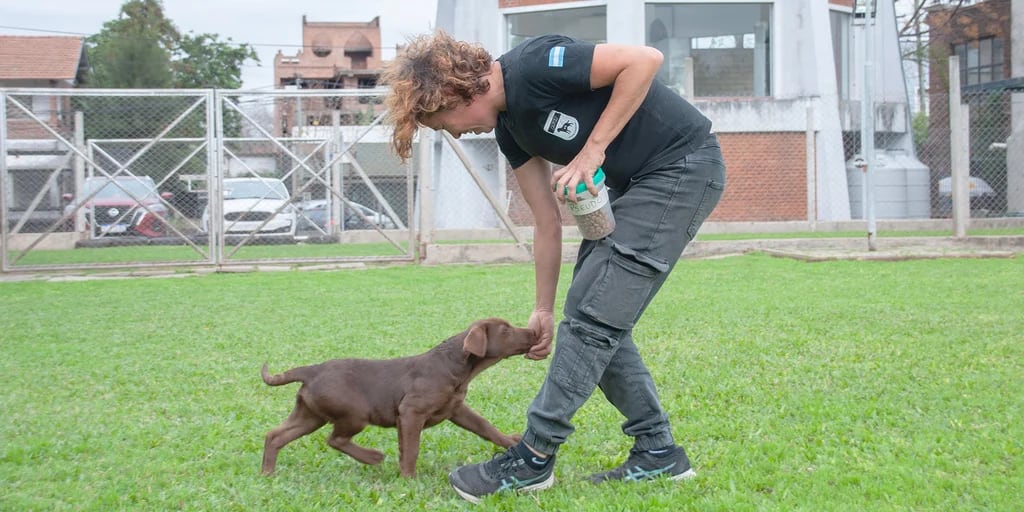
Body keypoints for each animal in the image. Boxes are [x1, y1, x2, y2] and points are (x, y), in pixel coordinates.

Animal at [260, 317, 540, 477]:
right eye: (506, 330)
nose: (535, 333)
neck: (457, 367)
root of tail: (312, 369)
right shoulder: (411, 413)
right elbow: (411, 449)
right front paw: (408, 479)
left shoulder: (455, 408)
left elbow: (485, 427)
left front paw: (510, 441)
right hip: (354, 414)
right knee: (335, 439)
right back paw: (373, 457)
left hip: (309, 414)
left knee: (275, 436)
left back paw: (267, 473)